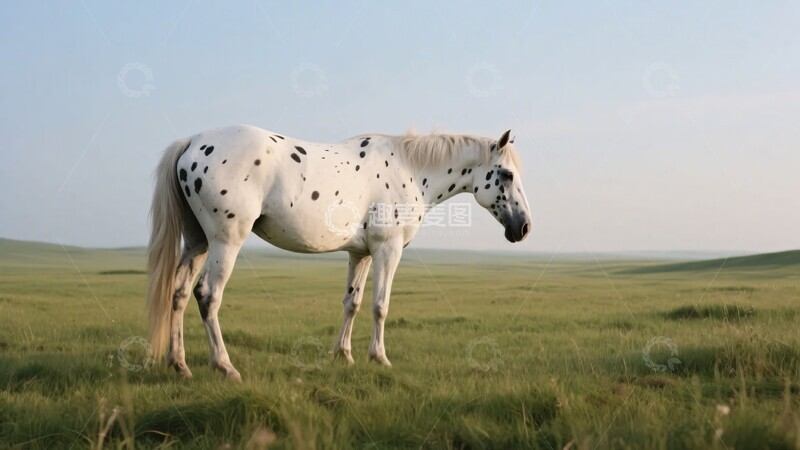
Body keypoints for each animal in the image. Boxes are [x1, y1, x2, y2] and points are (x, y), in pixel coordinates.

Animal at [146, 125, 532, 381]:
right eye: (506, 174)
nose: (524, 227)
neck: (410, 167)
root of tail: (193, 142)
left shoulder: (360, 254)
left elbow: (353, 303)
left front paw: (343, 355)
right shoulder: (387, 249)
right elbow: (380, 306)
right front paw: (379, 357)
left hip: (198, 243)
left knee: (179, 295)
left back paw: (180, 365)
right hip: (225, 241)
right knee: (208, 296)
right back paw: (225, 366)